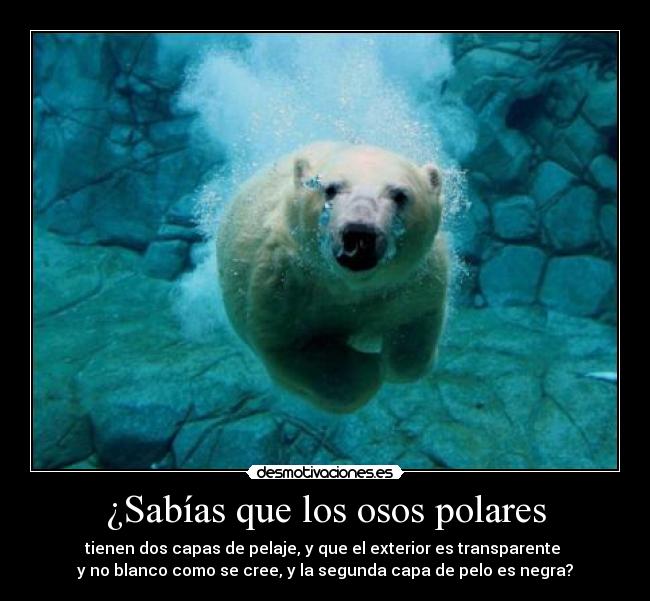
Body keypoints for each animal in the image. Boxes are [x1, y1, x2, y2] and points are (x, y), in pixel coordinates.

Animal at [217, 141, 449, 413]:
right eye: (330, 189)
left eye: (400, 195)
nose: (359, 234)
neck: (346, 287)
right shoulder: (284, 285)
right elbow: (294, 350)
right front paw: (368, 369)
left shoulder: (413, 282)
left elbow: (415, 327)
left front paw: (393, 363)